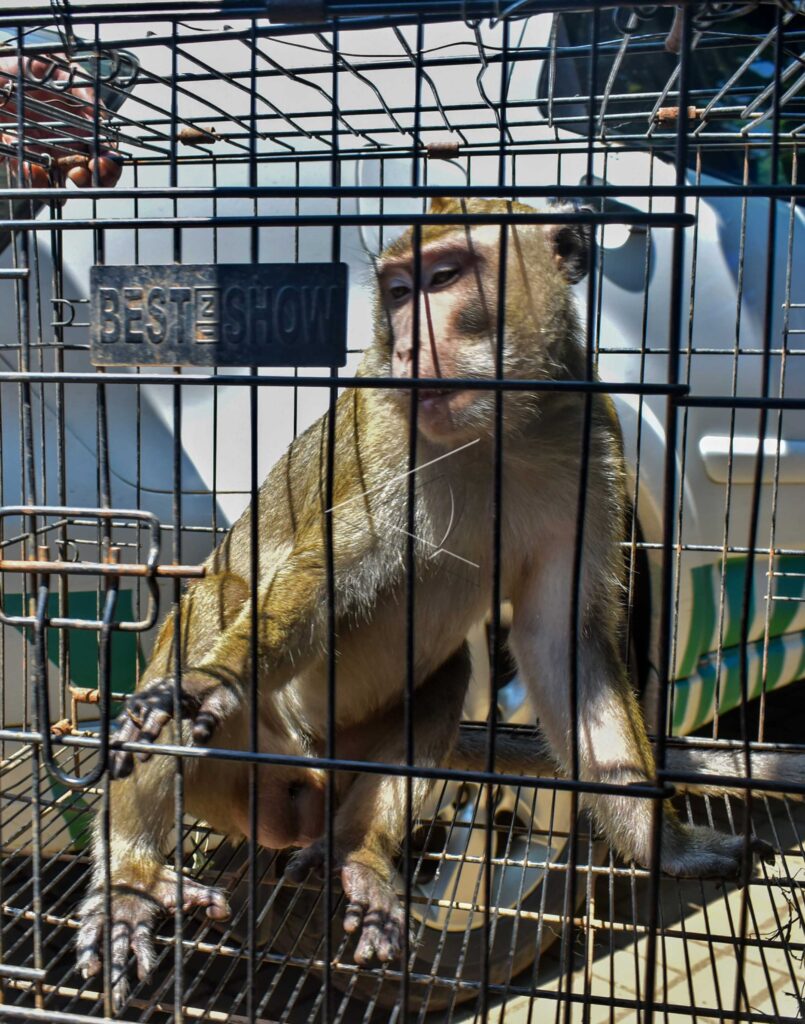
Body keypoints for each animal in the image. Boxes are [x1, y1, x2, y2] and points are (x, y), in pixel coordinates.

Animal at [76, 197, 792, 1007]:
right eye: (395, 291)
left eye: (445, 278)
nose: (409, 344)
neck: (495, 432)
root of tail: (307, 765)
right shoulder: (380, 440)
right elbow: (318, 580)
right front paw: (210, 684)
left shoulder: (593, 443)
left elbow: (565, 646)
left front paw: (666, 844)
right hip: (256, 749)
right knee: (211, 610)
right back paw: (131, 877)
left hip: (331, 768)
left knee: (445, 681)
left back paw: (357, 855)